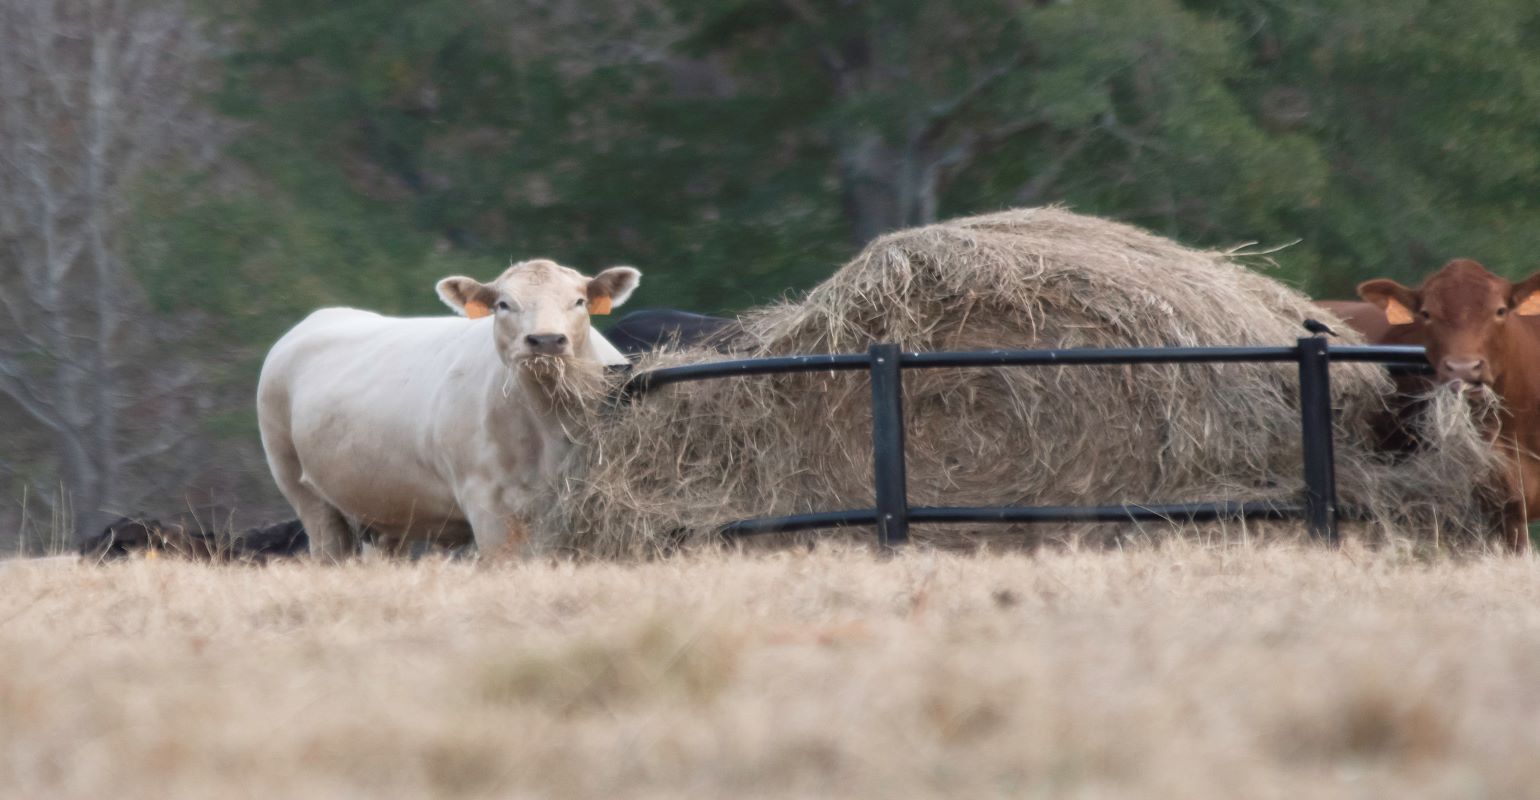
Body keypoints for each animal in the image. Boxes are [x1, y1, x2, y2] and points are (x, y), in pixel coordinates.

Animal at [258, 260, 637, 561]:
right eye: (503, 304)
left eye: (579, 301)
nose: (545, 340)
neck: (548, 428)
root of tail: (323, 316)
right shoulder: (487, 505)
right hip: (301, 489)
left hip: (386, 510)